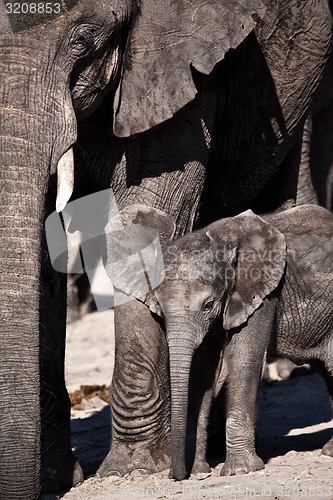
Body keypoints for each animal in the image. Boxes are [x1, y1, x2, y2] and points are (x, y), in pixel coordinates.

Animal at [156, 206, 332, 480]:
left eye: (208, 305)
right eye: (160, 310)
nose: (177, 475)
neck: (222, 240)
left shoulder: (263, 292)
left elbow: (244, 356)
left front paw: (239, 470)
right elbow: (203, 372)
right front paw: (200, 471)